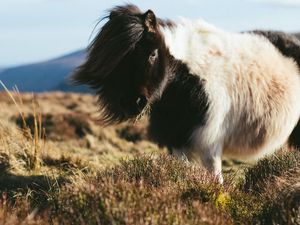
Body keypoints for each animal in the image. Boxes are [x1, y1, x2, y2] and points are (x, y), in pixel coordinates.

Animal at [72, 4, 300, 182]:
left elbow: (215, 179)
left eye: (152, 54)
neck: (187, 77)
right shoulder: (176, 138)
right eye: (118, 60)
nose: (132, 103)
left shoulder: (209, 141)